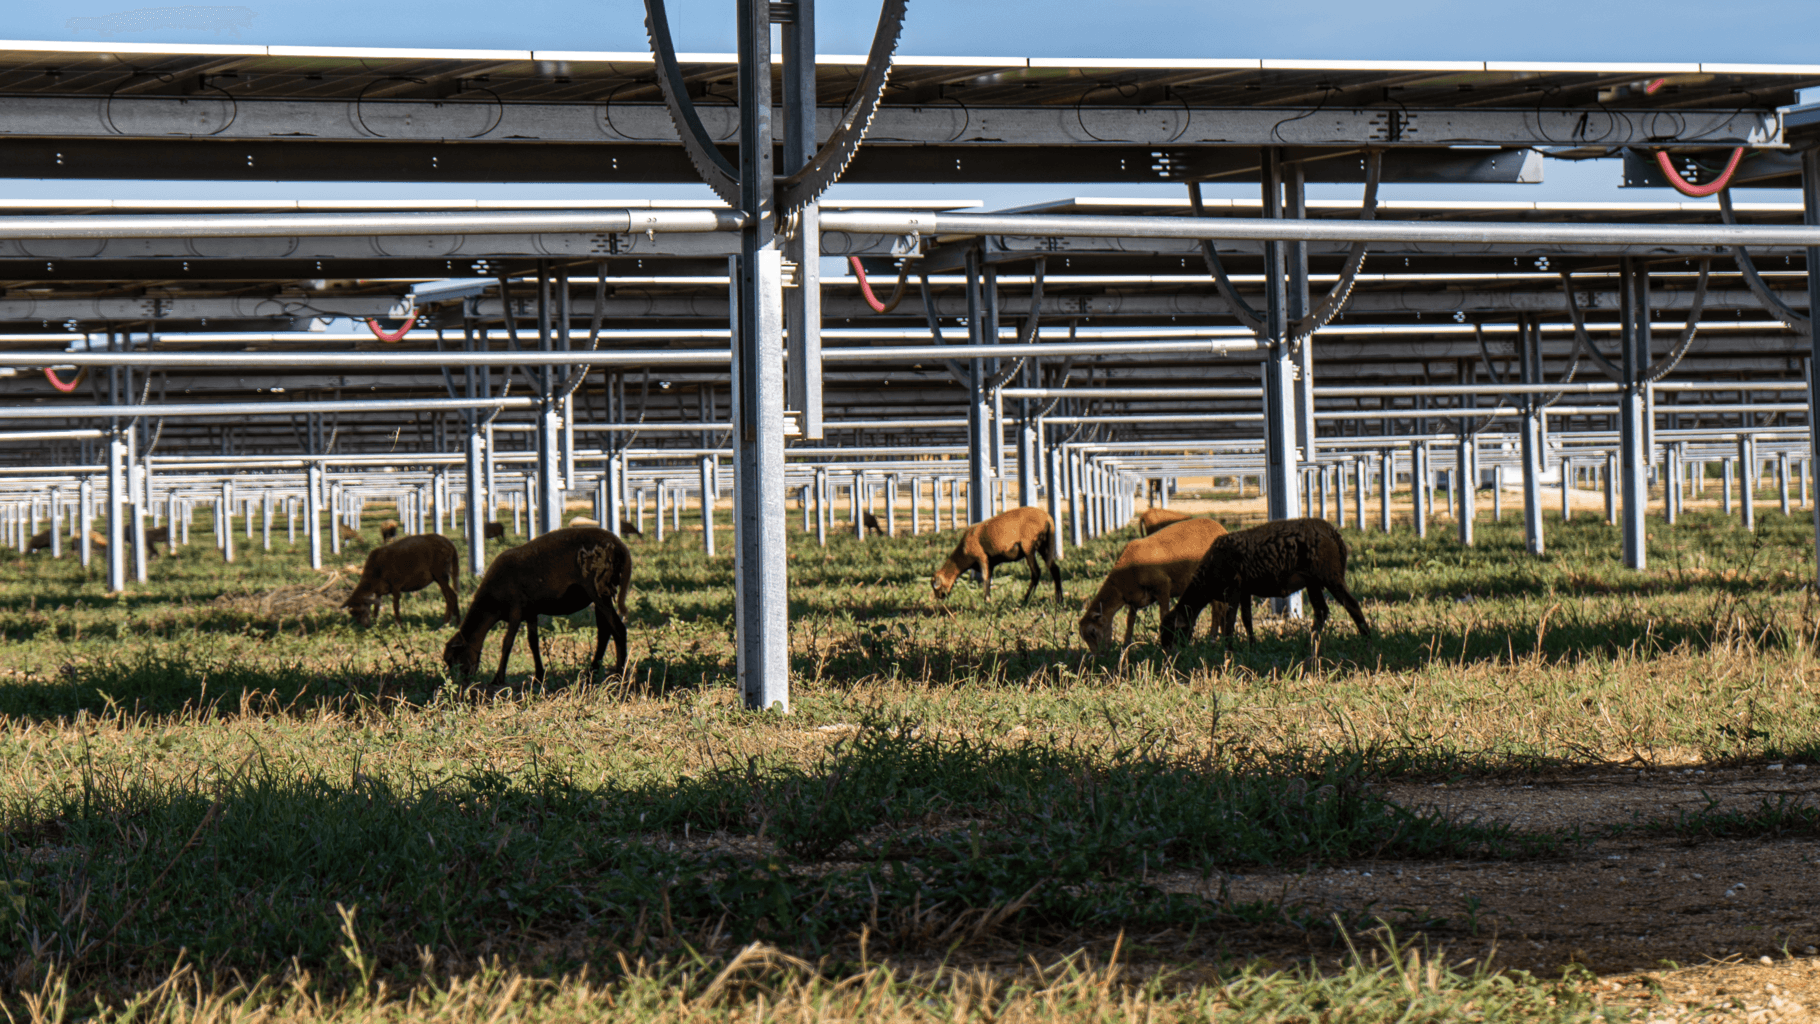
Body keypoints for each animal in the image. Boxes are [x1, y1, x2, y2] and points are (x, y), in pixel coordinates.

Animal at [442, 527, 633, 687]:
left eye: (453, 659)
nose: (457, 684)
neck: (491, 605)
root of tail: (619, 545)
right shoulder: (530, 612)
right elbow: (532, 642)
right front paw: (539, 676)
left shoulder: (516, 609)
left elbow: (507, 643)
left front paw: (498, 679)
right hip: (602, 592)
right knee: (604, 632)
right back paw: (591, 673)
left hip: (598, 590)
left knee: (618, 629)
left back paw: (619, 675)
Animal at [931, 505, 1062, 603]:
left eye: (935, 587)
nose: (939, 598)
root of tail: (1047, 518)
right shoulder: (991, 563)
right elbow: (989, 579)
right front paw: (988, 599)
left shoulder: (982, 557)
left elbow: (985, 578)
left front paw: (986, 601)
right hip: (1044, 546)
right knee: (1054, 568)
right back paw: (1059, 599)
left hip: (1029, 547)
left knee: (1036, 572)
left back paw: (1025, 599)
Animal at [1070, 516, 1230, 654]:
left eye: (1093, 631)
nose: (1098, 656)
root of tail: (1221, 528)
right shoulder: (1133, 600)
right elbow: (1130, 622)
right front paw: (1126, 646)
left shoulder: (1163, 586)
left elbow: (1163, 616)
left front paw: (1165, 647)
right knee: (1219, 608)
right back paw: (1218, 636)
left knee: (1218, 609)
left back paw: (1214, 637)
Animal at [1157, 516, 1368, 654]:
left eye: (1173, 632)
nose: (1167, 653)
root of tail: (1335, 534)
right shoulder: (1245, 590)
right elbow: (1246, 620)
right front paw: (1251, 647)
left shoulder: (1234, 588)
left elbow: (1230, 622)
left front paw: (1228, 651)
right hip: (1313, 581)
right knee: (1321, 611)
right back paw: (1312, 645)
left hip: (1329, 574)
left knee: (1351, 605)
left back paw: (1367, 640)